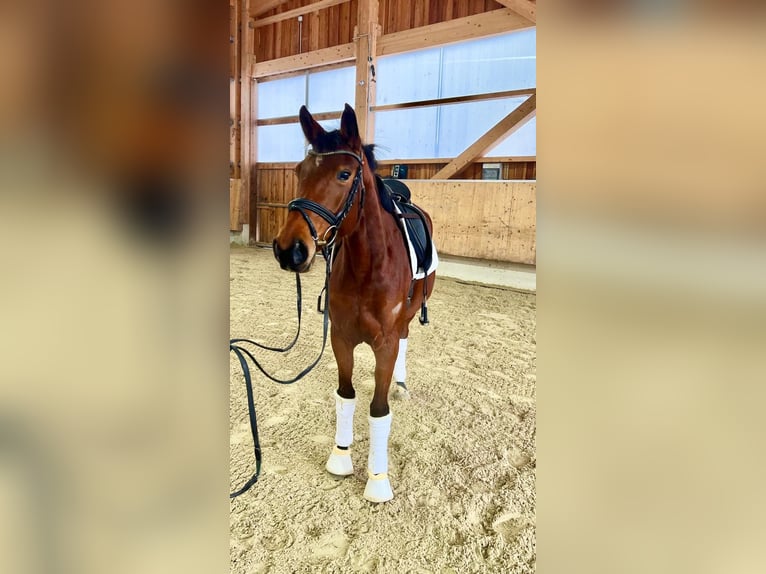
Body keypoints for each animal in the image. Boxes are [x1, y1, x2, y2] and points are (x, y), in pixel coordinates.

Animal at [272, 104, 436, 503]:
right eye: (299, 172)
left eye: (344, 174)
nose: (289, 250)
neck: (368, 265)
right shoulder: (341, 338)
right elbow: (345, 395)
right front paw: (341, 456)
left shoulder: (385, 343)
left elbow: (378, 410)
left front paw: (378, 479)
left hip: (409, 316)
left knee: (406, 338)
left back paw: (401, 384)